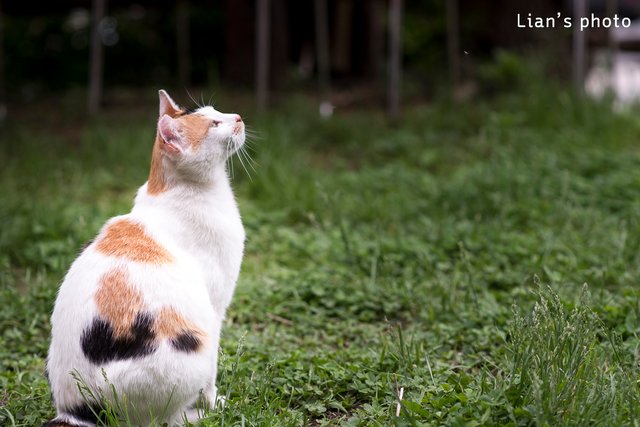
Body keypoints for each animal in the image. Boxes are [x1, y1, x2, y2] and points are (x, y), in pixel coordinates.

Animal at [43, 91, 248, 427]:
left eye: (215, 110)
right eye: (215, 124)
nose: (239, 117)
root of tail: (76, 411)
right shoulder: (215, 310)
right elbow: (212, 377)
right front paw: (214, 402)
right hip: (192, 349)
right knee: (163, 419)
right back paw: (198, 413)